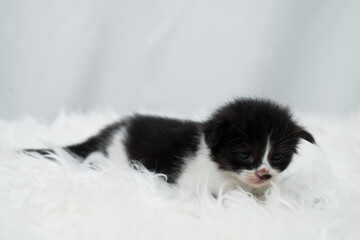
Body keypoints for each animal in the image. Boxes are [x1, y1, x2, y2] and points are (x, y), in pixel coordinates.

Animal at [24, 98, 316, 196]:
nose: (264, 174)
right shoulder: (193, 184)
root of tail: (112, 129)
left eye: (277, 156)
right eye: (245, 155)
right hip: (116, 157)